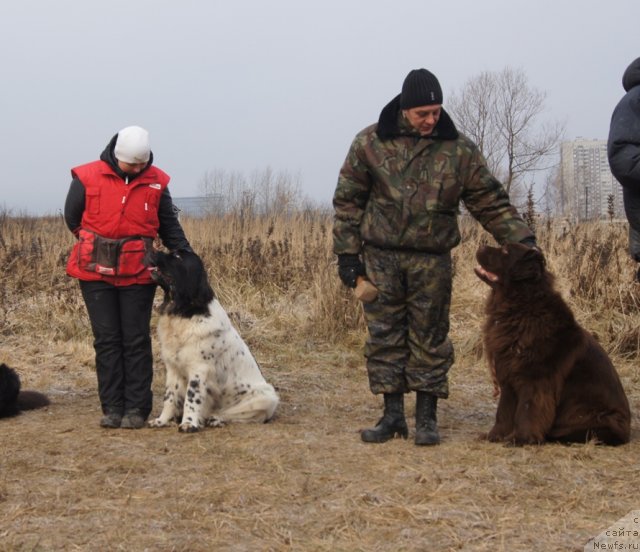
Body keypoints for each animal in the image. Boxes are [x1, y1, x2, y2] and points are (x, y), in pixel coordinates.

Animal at [151, 248, 282, 434]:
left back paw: (216, 419)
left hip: (267, 396)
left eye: (177, 256)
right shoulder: (173, 369)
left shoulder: (199, 370)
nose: (153, 250)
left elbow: (191, 399)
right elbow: (169, 397)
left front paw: (188, 423)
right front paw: (162, 420)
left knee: (241, 415)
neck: (186, 312)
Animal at [476, 244, 632, 446]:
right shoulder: (508, 374)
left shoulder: (535, 380)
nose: (480, 246)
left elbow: (527, 409)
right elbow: (504, 411)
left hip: (599, 420)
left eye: (505, 252)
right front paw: (494, 436)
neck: (520, 306)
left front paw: (521, 438)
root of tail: (627, 432)